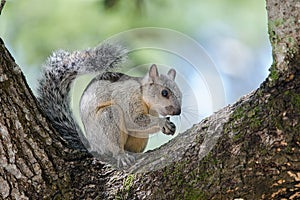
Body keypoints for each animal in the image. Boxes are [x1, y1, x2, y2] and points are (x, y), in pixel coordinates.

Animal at [37, 41, 183, 167]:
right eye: (164, 93)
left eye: (180, 94)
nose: (178, 112)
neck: (143, 96)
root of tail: (93, 147)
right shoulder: (128, 98)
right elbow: (135, 121)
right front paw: (163, 123)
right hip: (108, 119)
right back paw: (121, 155)